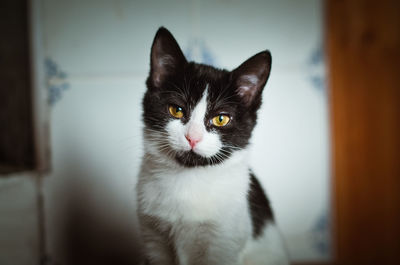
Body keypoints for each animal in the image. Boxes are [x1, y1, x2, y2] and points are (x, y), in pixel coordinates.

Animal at [136, 27, 290, 264]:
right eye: (176, 110)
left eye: (221, 119)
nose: (193, 137)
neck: (189, 179)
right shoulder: (154, 238)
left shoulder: (223, 242)